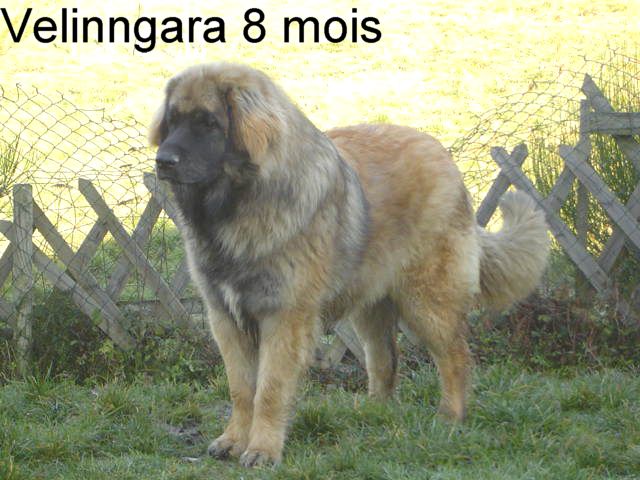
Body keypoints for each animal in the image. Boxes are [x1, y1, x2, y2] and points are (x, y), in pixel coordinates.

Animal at [148, 62, 549, 467]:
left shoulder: (285, 318)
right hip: (371, 306)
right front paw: (233, 441)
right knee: (385, 360)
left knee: (455, 357)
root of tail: (443, 155)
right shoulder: (225, 317)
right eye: (173, 120)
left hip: (427, 303)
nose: (163, 161)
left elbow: (269, 391)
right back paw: (373, 413)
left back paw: (450, 417)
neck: (239, 205)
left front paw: (262, 449)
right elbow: (241, 390)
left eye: (208, 123)